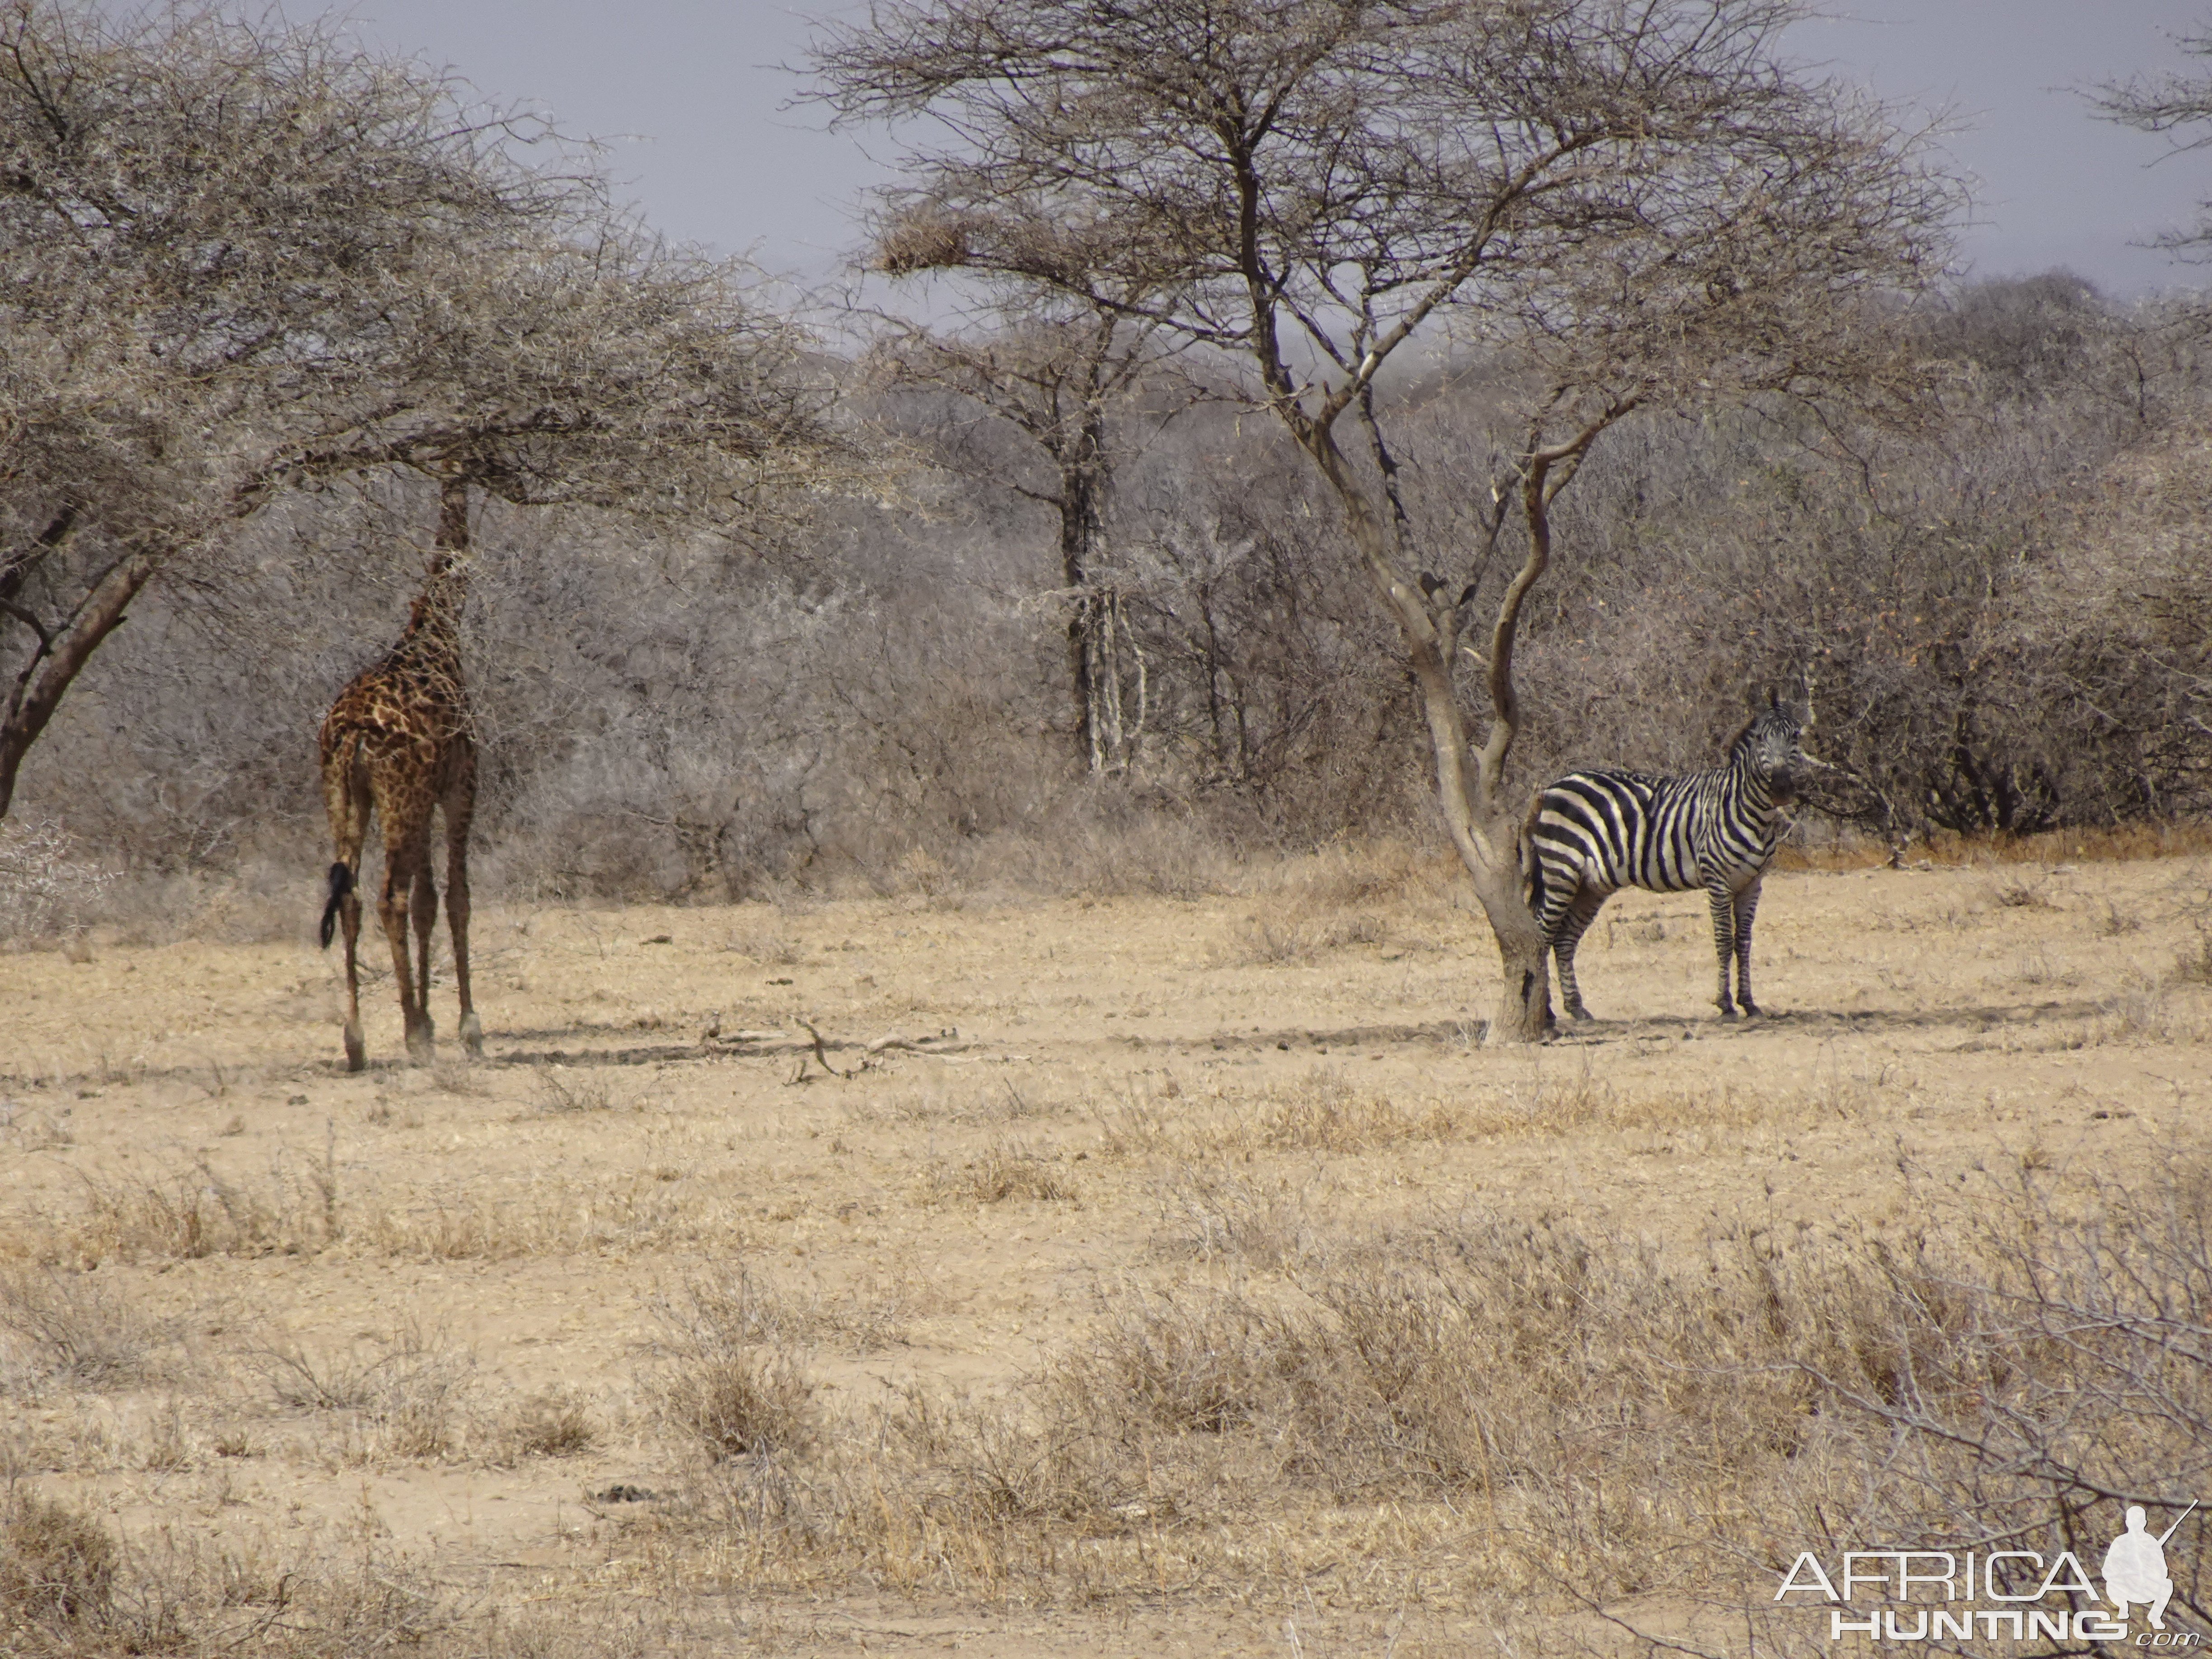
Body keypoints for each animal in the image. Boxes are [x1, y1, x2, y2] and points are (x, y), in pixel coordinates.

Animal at [314, 480, 478, 1079]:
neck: (437, 638)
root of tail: (355, 734)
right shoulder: (459, 786)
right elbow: (455, 897)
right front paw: (465, 1029)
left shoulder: (425, 796)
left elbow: (429, 901)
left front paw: (431, 1018)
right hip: (398, 797)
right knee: (389, 898)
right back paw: (410, 1036)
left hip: (345, 795)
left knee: (352, 896)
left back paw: (356, 1041)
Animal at [1522, 694, 1814, 1022]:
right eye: (1762, 738)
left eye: (1795, 737)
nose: (1781, 789)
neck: (1747, 809)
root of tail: (1551, 787)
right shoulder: (1718, 880)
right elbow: (1724, 941)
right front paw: (1725, 1004)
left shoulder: (1752, 884)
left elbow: (1744, 942)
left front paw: (1749, 1003)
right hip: (1561, 870)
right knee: (1541, 935)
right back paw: (1544, 1012)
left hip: (1590, 885)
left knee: (1564, 939)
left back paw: (1576, 1008)